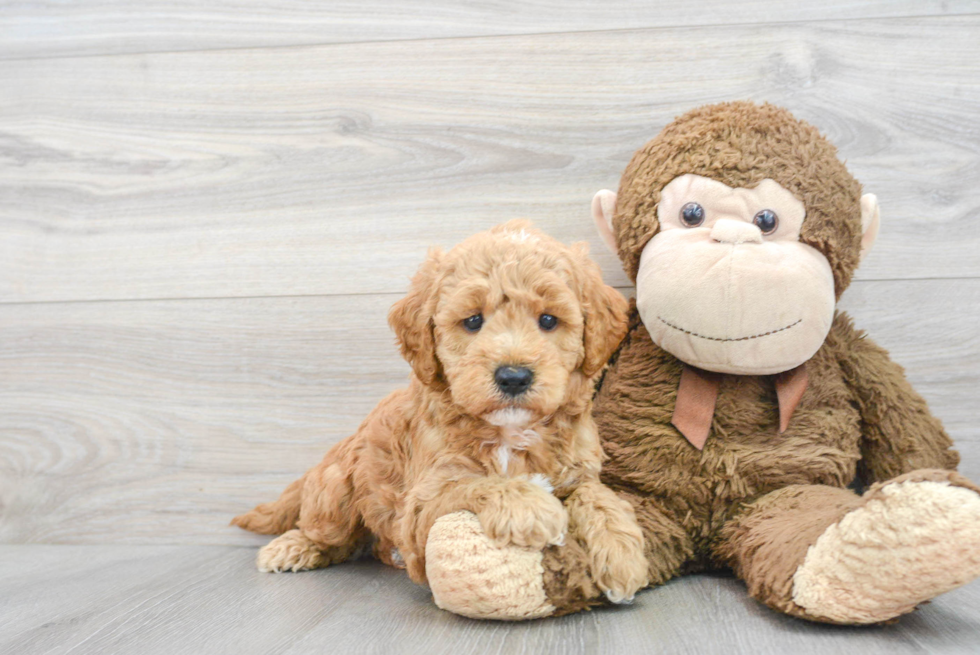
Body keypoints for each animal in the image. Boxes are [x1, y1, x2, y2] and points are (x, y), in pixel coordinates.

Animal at [233, 220, 652, 604]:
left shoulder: (578, 469)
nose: (514, 377)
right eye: (473, 321)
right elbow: (477, 483)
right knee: (326, 532)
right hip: (335, 492)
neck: (511, 432)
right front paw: (533, 507)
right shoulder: (422, 499)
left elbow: (597, 495)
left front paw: (622, 554)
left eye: (548, 320)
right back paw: (292, 547)